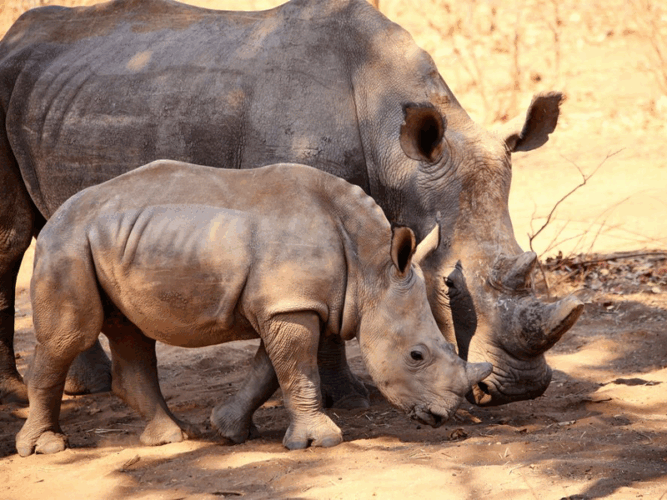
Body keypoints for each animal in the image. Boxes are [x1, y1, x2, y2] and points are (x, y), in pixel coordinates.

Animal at [0, 0, 582, 407]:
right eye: (450, 288)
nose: (521, 390)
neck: (401, 158)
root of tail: (14, 37)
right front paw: (348, 400)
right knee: (12, 239)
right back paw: (18, 392)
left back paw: (87, 387)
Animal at [15, 160, 492, 456]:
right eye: (416, 355)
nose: (441, 416)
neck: (371, 265)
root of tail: (56, 214)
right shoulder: (290, 306)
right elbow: (297, 370)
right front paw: (320, 442)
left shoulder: (285, 304)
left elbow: (270, 370)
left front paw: (230, 430)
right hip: (67, 244)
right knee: (71, 335)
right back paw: (46, 448)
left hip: (114, 240)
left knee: (130, 331)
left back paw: (173, 437)